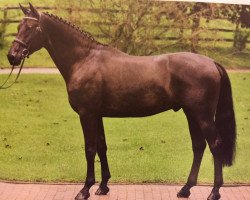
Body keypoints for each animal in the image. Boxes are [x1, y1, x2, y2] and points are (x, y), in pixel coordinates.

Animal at [6, 3, 236, 200]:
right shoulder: (97, 115)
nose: (12, 56)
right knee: (198, 146)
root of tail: (212, 62)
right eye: (18, 26)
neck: (84, 59)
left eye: (31, 27)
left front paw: (85, 189)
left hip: (202, 115)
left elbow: (90, 149)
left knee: (215, 145)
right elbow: (101, 146)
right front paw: (103, 186)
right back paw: (186, 189)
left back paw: (214, 191)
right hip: (191, 113)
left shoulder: (87, 115)